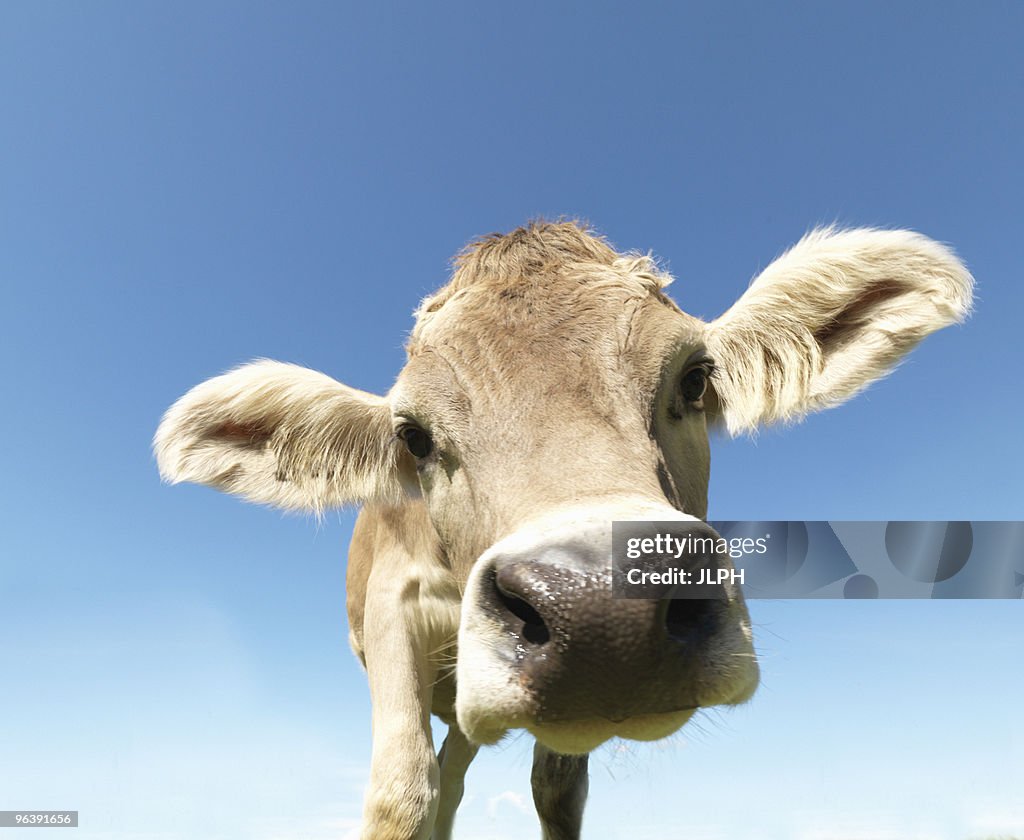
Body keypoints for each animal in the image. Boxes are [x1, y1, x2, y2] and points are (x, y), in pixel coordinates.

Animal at [155, 220, 970, 835]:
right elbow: (400, 793)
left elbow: (556, 793)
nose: (606, 612)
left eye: (695, 378)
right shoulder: (392, 607)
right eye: (412, 437)